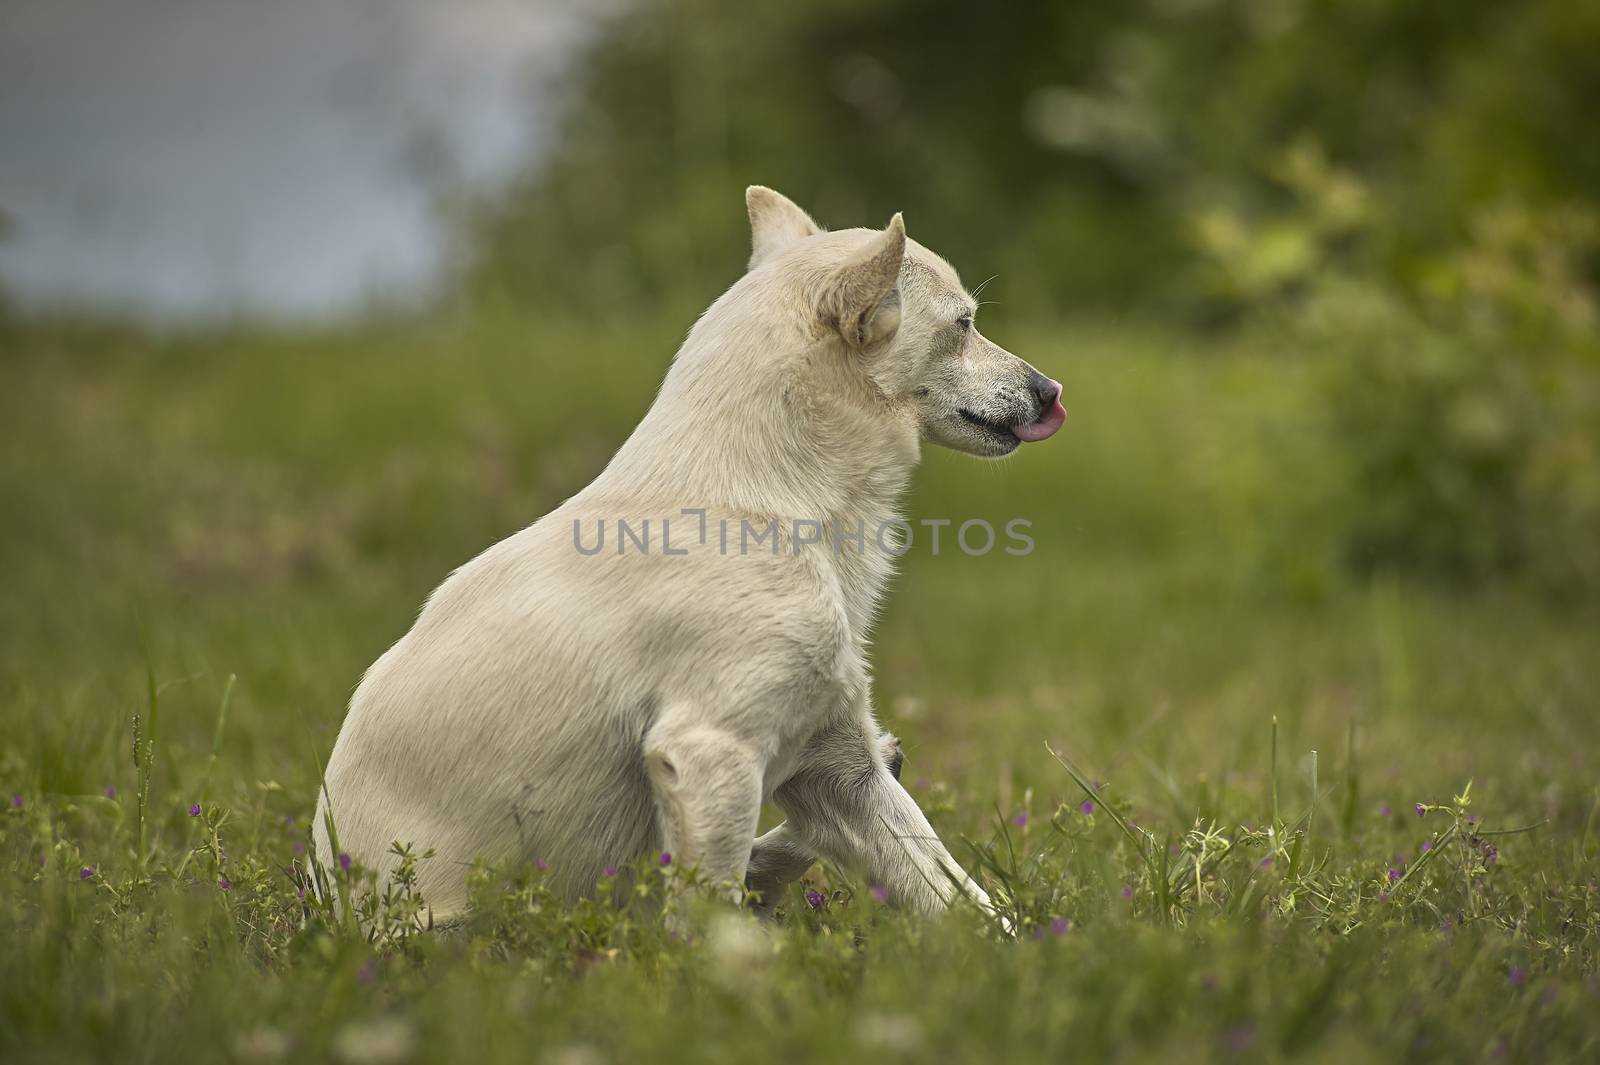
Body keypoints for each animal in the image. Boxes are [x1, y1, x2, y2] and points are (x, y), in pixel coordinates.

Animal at [310, 188, 1062, 921]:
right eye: (963, 325)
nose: (1051, 391)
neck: (768, 507)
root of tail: (326, 906)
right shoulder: (710, 752)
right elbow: (710, 920)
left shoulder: (834, 766)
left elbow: (963, 902)